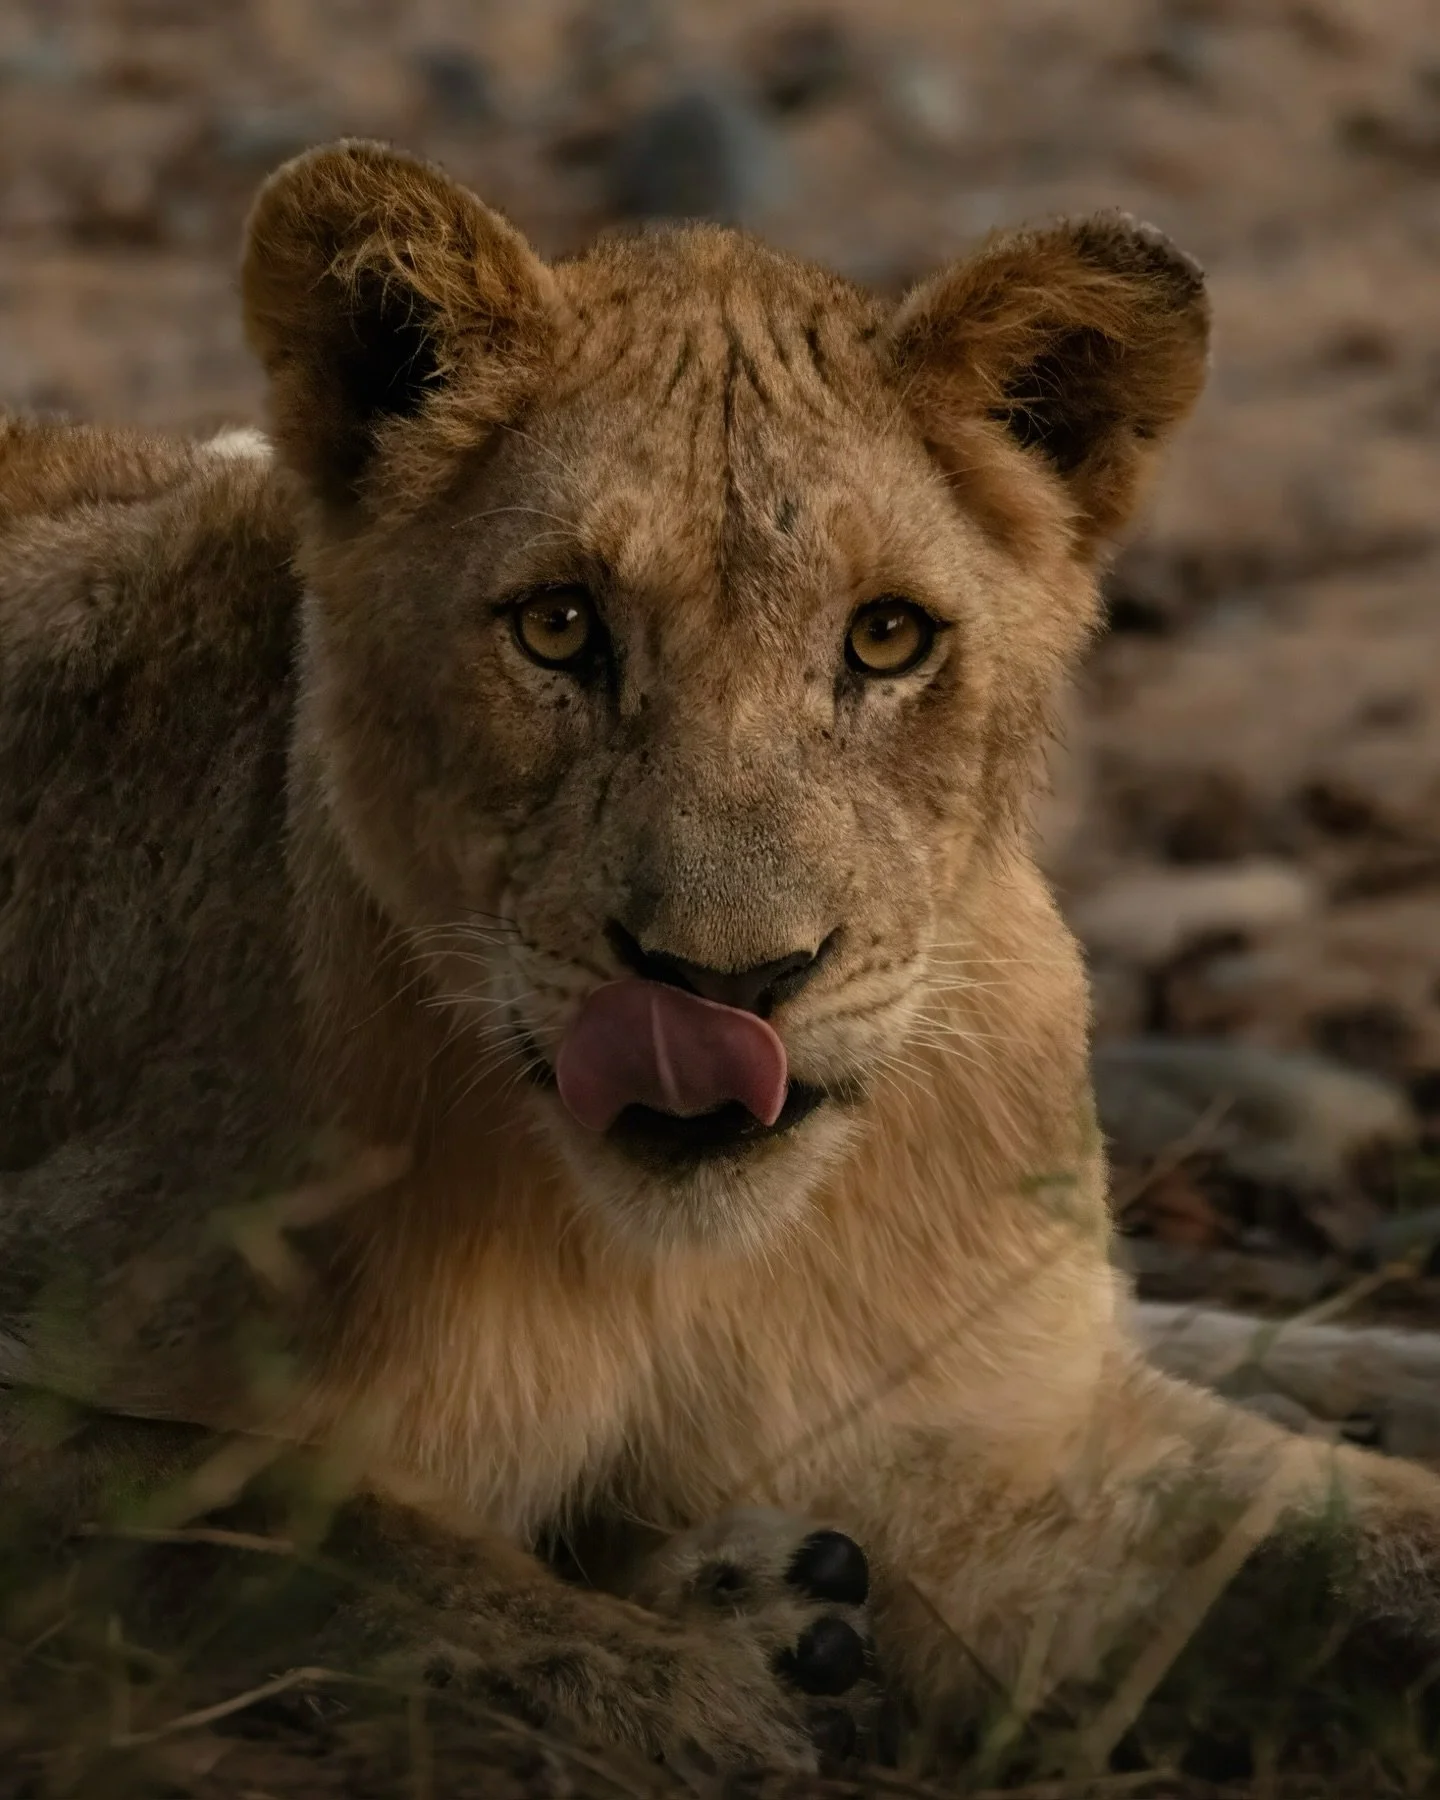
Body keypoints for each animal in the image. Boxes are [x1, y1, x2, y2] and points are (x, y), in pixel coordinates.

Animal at [4, 138, 1440, 1777]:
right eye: (560, 625)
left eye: (886, 640)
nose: (727, 988)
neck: (667, 1272)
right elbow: (279, 1527)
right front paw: (682, 1690)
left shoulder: (1002, 1470)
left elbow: (1354, 1543)